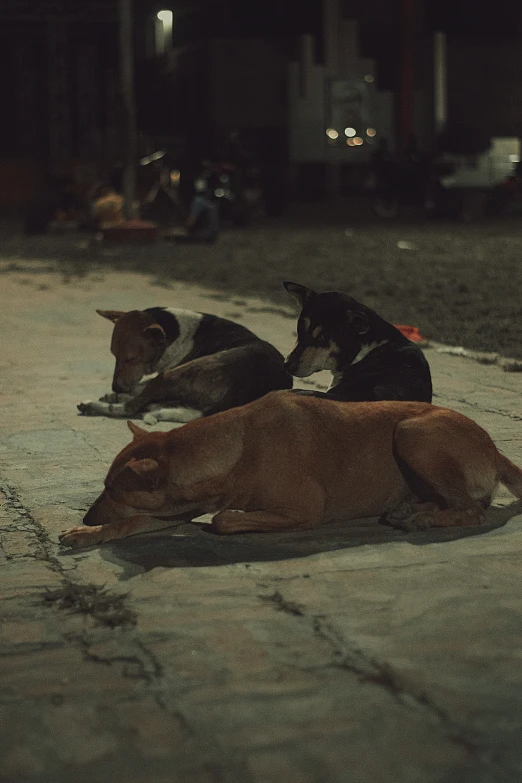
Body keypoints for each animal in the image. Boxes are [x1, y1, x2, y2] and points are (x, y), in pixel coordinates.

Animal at [58, 392, 520, 552]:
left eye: (115, 490)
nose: (87, 516)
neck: (239, 446)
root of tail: (495, 449)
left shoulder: (304, 510)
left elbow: (224, 519)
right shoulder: (174, 506)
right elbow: (132, 523)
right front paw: (88, 533)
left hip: (412, 432)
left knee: (473, 510)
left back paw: (423, 518)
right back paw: (413, 509)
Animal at [77, 308, 292, 428]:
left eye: (130, 359)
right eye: (113, 355)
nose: (116, 387)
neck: (174, 332)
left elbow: (139, 391)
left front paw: (117, 396)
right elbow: (140, 389)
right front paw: (117, 394)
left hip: (171, 375)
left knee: (131, 407)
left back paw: (92, 405)